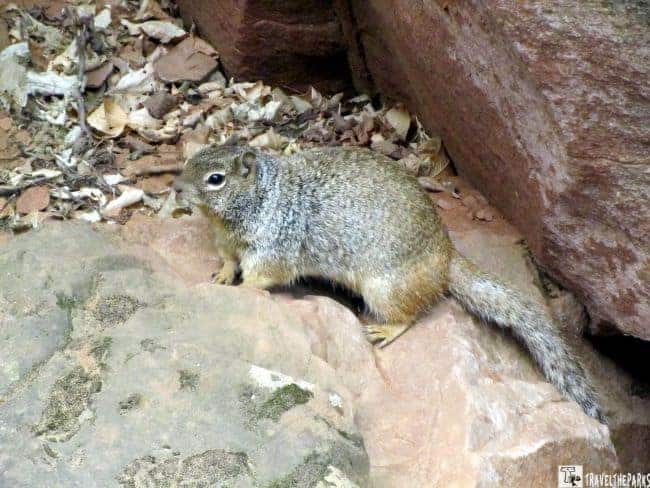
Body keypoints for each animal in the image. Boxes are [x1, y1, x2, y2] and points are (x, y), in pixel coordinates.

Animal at [174, 143, 605, 422]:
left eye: (215, 179)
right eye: (190, 160)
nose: (175, 189)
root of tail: (446, 255)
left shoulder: (274, 248)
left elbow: (261, 277)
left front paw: (241, 289)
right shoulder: (226, 243)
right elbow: (229, 261)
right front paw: (221, 275)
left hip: (384, 289)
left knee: (411, 314)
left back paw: (384, 330)